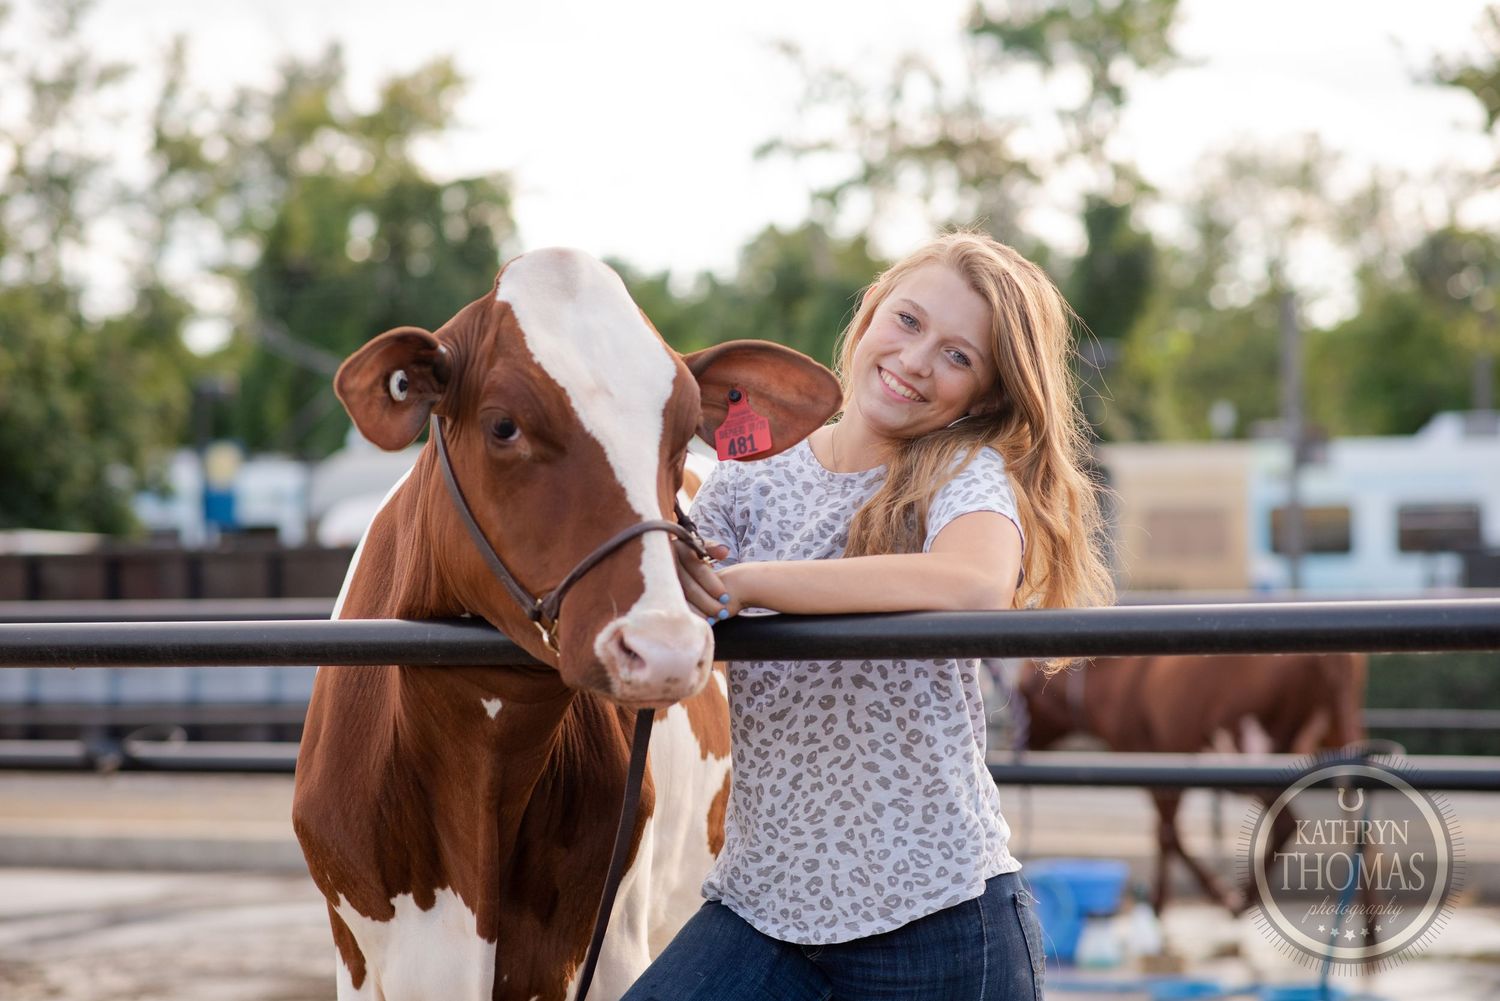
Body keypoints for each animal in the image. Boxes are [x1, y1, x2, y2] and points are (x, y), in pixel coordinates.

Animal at [1018, 652, 1367, 915]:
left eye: (1022, 693)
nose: (1016, 739)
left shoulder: (1153, 759)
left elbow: (1166, 834)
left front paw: (1166, 902)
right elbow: (1168, 832)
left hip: (1248, 751)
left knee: (1286, 823)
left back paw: (1240, 900)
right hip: (1339, 735)